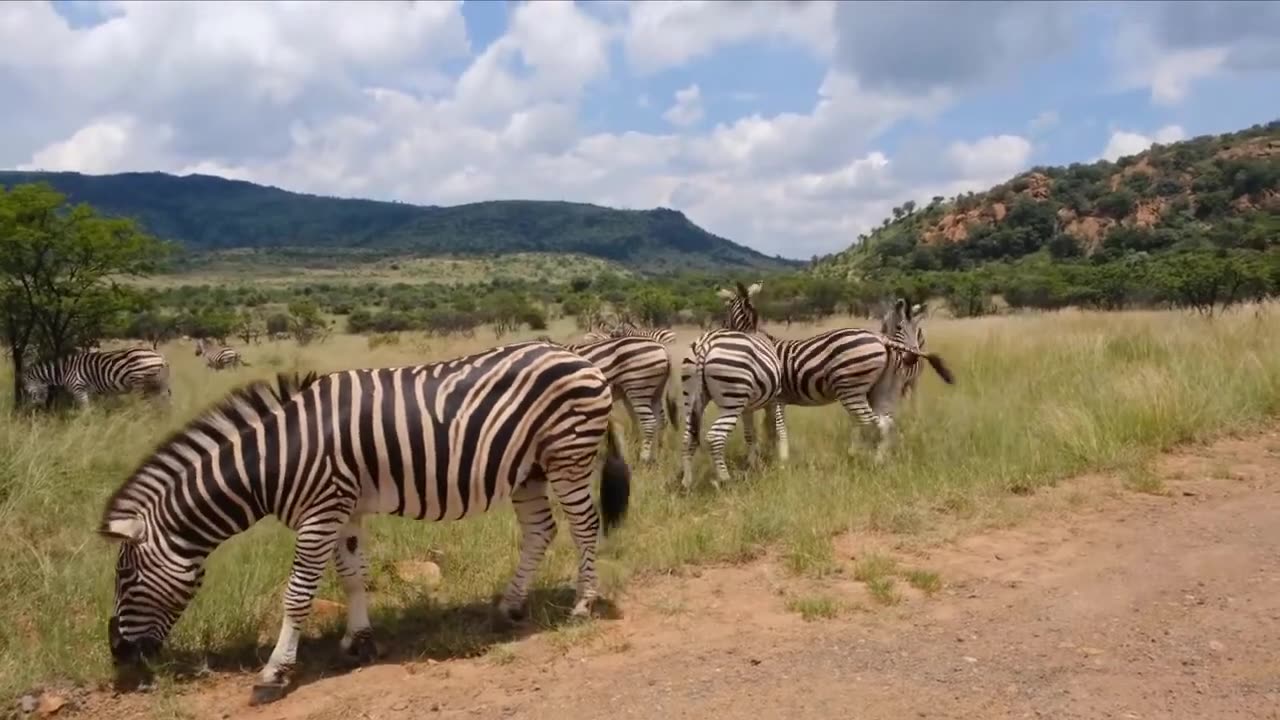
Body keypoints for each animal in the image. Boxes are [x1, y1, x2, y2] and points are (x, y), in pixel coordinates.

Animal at [20, 345, 171, 407]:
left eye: (27, 391)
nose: (38, 407)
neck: (64, 371)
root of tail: (159, 356)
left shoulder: (79, 389)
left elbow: (85, 410)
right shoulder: (89, 391)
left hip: (141, 382)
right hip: (157, 385)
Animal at [98, 338, 629, 702]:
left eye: (125, 575)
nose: (118, 654)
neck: (277, 457)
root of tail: (579, 356)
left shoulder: (319, 513)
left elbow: (298, 594)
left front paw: (274, 672)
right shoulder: (342, 509)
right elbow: (353, 575)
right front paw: (359, 641)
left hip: (568, 457)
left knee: (584, 526)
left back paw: (583, 604)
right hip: (529, 470)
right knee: (541, 530)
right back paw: (511, 607)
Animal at [537, 333, 686, 461]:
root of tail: (663, 349)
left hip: (638, 387)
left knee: (650, 422)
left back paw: (644, 458)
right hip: (655, 391)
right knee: (662, 420)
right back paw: (658, 455)